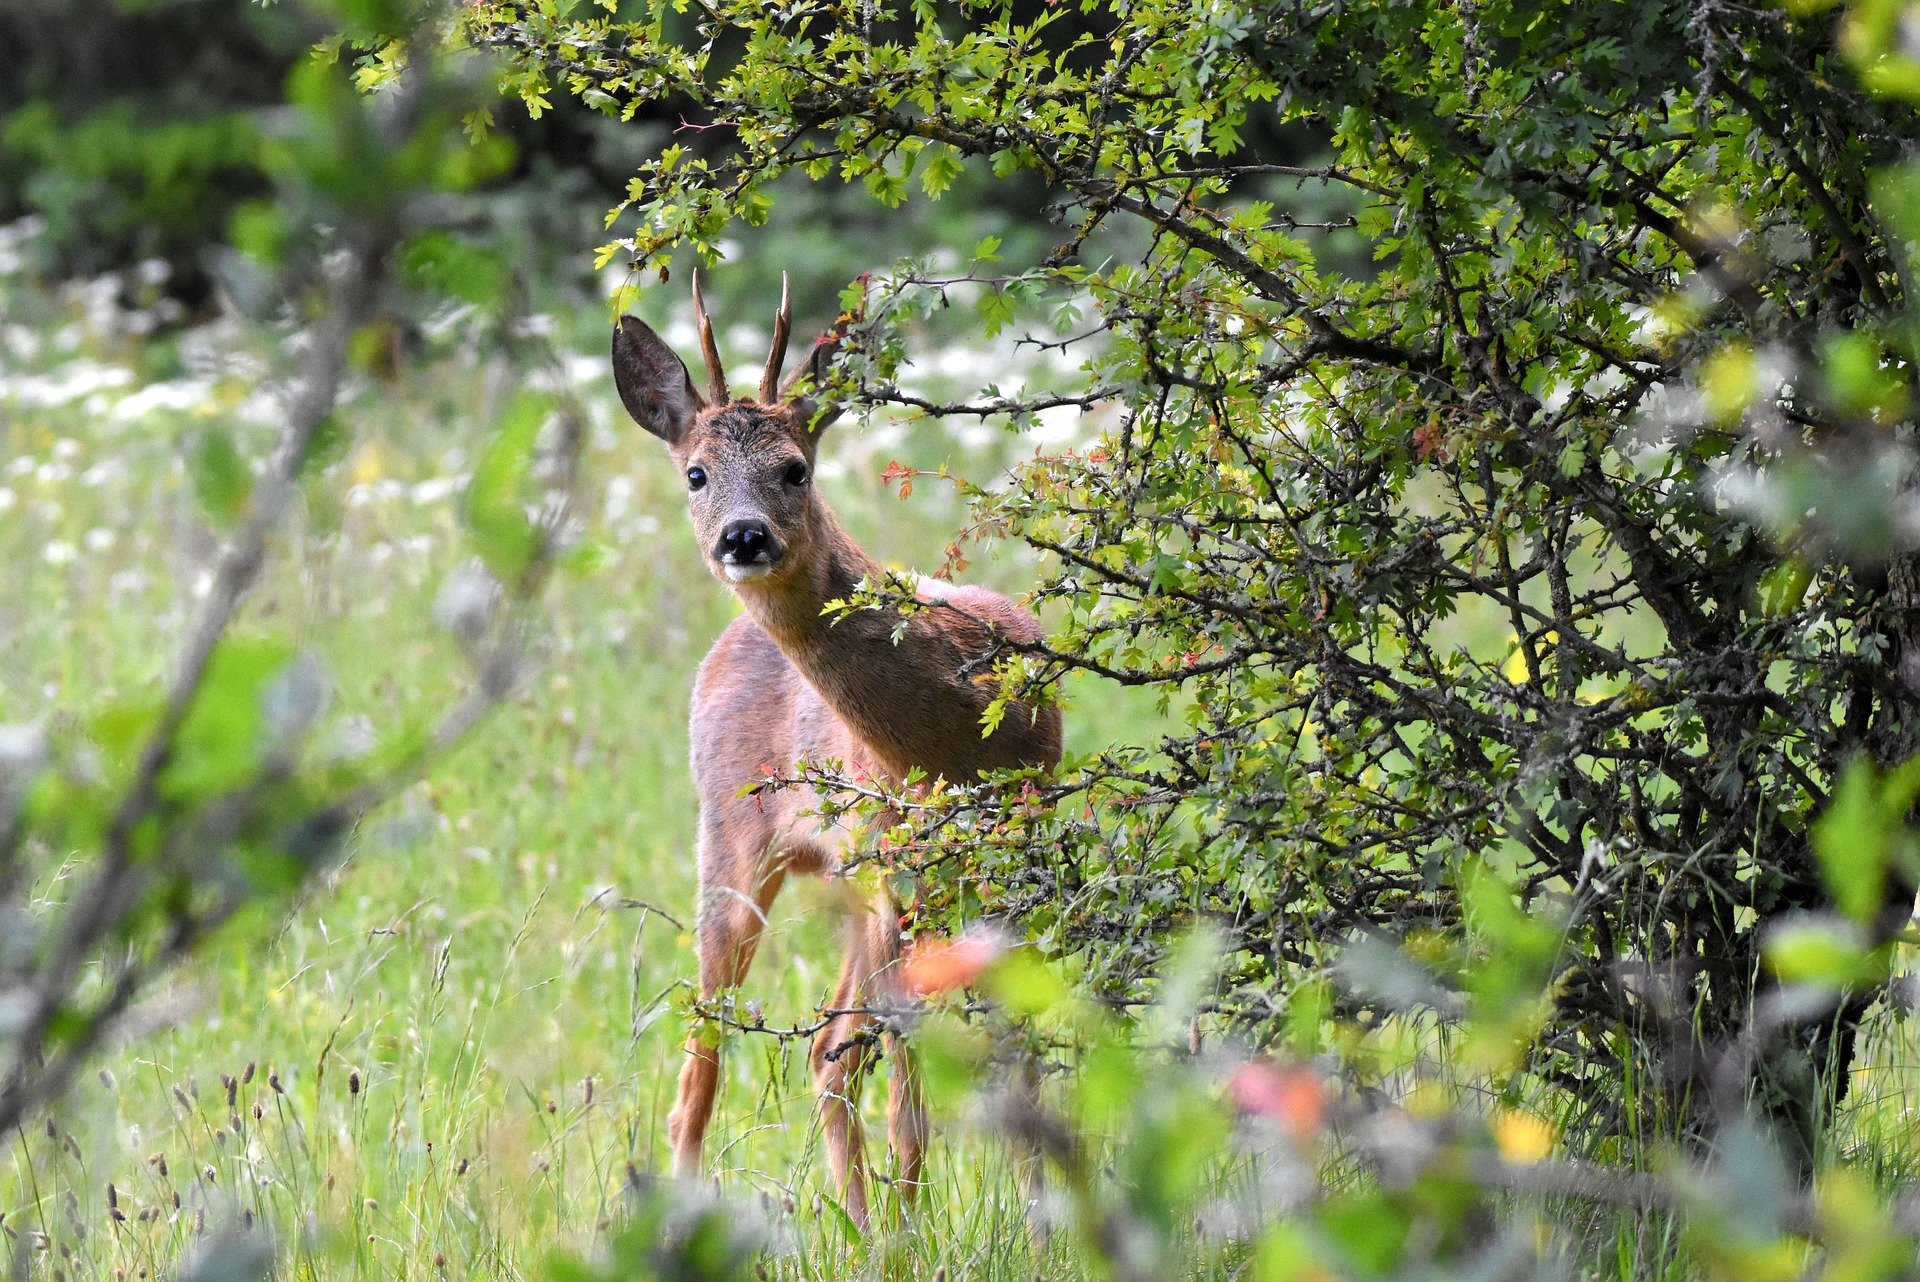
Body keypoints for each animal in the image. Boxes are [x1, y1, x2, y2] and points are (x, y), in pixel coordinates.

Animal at [614, 278, 1067, 1220]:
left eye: (796, 467)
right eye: (695, 473)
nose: (744, 536)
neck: (957, 736)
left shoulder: (1017, 847)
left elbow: (1019, 1056)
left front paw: (1045, 1223)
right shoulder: (897, 870)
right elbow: (909, 1086)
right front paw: (916, 1235)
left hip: (853, 879)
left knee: (829, 1054)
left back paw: (863, 1225)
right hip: (735, 845)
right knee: (704, 1070)